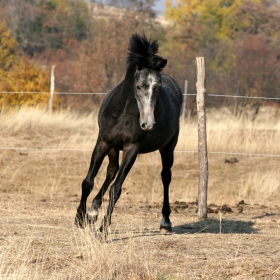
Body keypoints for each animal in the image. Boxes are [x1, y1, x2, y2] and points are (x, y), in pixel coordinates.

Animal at [75, 34, 183, 237]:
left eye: (158, 87)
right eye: (139, 86)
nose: (148, 124)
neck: (123, 112)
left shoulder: (132, 148)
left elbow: (116, 189)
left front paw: (102, 230)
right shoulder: (103, 142)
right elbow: (88, 182)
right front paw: (80, 218)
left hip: (168, 148)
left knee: (165, 176)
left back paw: (165, 222)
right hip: (113, 148)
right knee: (111, 170)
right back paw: (92, 211)